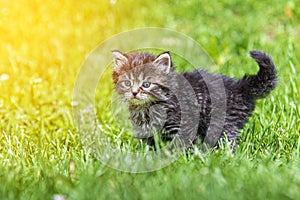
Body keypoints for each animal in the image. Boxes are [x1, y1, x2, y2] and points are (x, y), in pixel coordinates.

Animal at [110, 49, 276, 150]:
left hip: (223, 123)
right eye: (127, 83)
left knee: (229, 141)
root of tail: (240, 86)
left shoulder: (184, 124)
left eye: (146, 84)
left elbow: (185, 145)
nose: (134, 93)